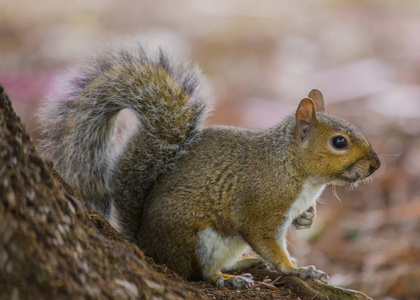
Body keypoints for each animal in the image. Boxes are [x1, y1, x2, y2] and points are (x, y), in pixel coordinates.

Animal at [38, 42, 380, 288]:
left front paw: (307, 218)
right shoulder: (262, 208)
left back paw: (243, 263)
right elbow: (268, 243)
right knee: (197, 273)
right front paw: (298, 270)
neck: (294, 167)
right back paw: (227, 279)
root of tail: (147, 245)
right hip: (198, 240)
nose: (375, 165)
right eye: (339, 142)